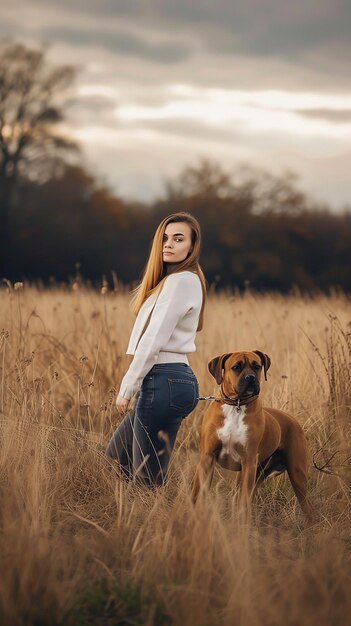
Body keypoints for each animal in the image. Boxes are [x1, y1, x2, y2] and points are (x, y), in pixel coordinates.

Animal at [192, 348, 314, 520]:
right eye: (236, 367)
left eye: (257, 366)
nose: (250, 378)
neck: (236, 405)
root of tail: (292, 420)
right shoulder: (207, 458)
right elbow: (197, 493)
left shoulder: (248, 461)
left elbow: (244, 501)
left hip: (297, 476)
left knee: (308, 507)